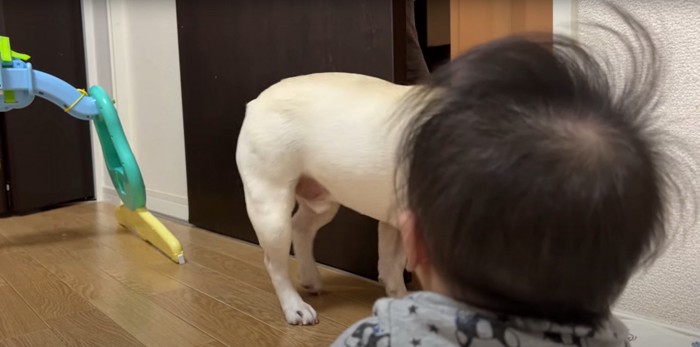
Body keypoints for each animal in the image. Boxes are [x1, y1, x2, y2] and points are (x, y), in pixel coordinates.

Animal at [238, 72, 418, 324]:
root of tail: (255, 103)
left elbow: (392, 262)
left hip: (321, 204)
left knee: (301, 228)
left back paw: (310, 277)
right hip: (271, 209)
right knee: (275, 264)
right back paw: (295, 306)